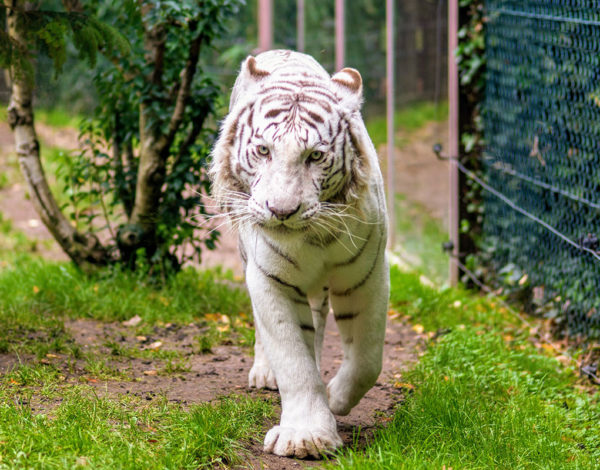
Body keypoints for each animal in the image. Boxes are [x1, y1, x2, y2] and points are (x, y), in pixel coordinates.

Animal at [210, 49, 390, 458]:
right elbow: (293, 358)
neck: (313, 239)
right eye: (263, 150)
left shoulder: (367, 277)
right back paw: (265, 372)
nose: (281, 211)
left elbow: (367, 358)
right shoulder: (269, 279)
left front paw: (335, 399)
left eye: (316, 156)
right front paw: (305, 436)